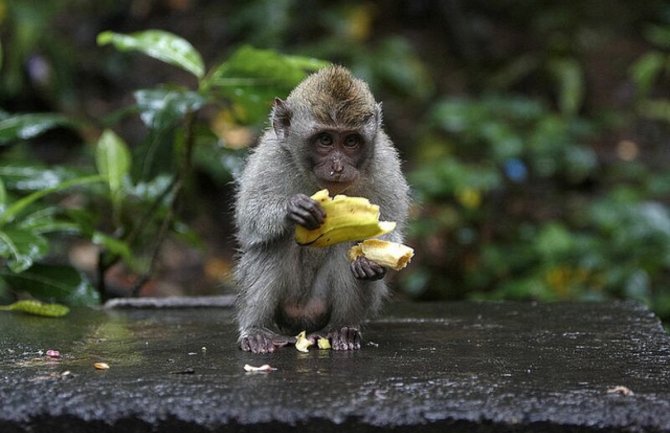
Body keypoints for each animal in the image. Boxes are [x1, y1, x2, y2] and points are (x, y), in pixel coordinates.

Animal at [234, 65, 412, 354]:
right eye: (325, 140)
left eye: (351, 141)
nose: (338, 167)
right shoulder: (270, 155)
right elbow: (248, 217)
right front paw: (293, 209)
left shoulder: (384, 161)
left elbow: (391, 222)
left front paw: (370, 260)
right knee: (273, 243)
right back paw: (257, 330)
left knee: (345, 243)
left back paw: (341, 329)